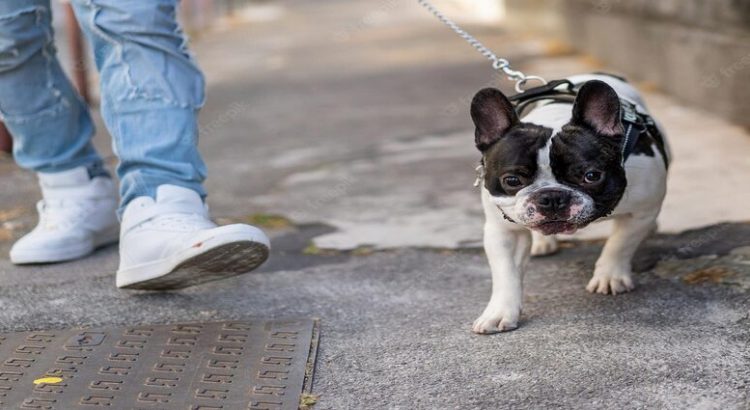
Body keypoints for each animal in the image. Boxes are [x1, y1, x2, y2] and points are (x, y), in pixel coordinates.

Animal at [472, 73, 672, 334]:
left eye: (591, 176)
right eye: (512, 180)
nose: (551, 197)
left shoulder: (641, 212)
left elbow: (620, 244)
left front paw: (609, 275)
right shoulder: (503, 231)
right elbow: (506, 273)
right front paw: (499, 312)